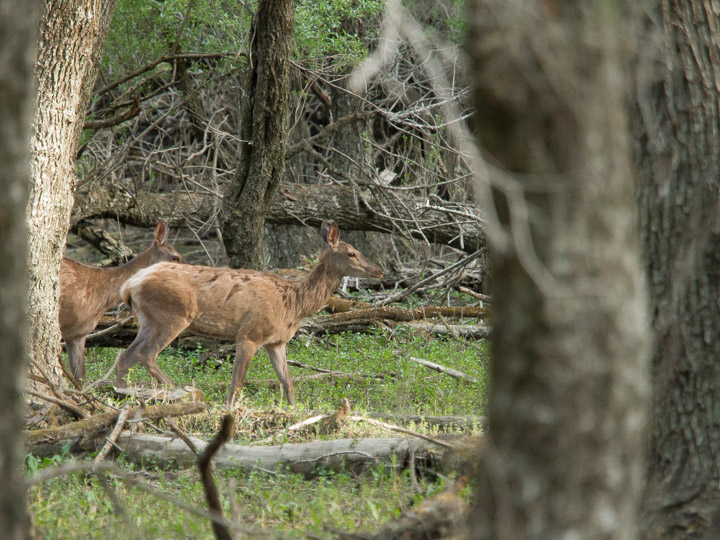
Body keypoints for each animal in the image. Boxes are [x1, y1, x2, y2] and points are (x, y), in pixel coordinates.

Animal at [116, 223, 382, 404]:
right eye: (351, 253)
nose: (378, 270)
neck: (292, 305)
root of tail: (129, 285)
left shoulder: (276, 342)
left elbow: (287, 382)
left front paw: (295, 410)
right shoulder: (250, 334)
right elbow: (237, 383)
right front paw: (229, 411)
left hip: (148, 321)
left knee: (125, 357)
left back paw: (123, 392)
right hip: (173, 316)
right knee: (146, 354)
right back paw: (180, 391)